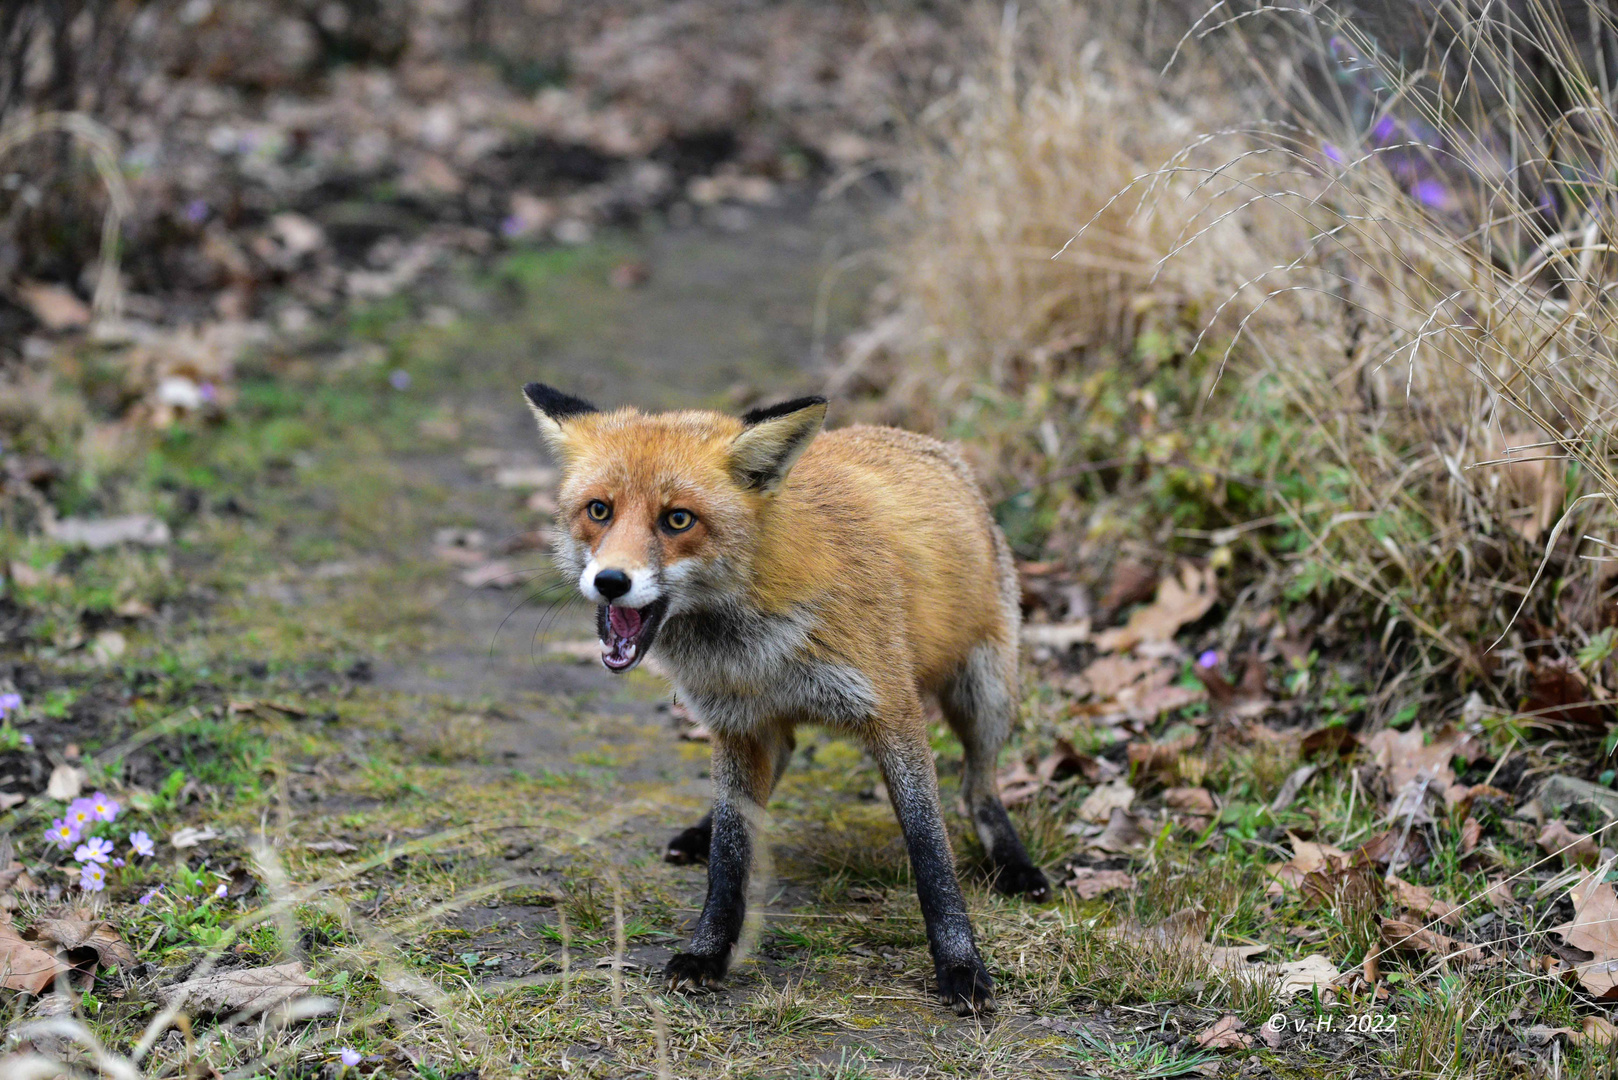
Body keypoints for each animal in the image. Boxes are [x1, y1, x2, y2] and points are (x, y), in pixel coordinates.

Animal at [517, 382, 1048, 1016]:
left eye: (678, 519)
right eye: (599, 510)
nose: (610, 582)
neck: (758, 648)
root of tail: (930, 445)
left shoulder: (892, 712)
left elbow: (930, 851)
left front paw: (961, 965)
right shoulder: (735, 721)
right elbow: (729, 855)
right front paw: (707, 952)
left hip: (986, 691)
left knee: (977, 788)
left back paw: (1014, 863)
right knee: (780, 763)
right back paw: (701, 831)